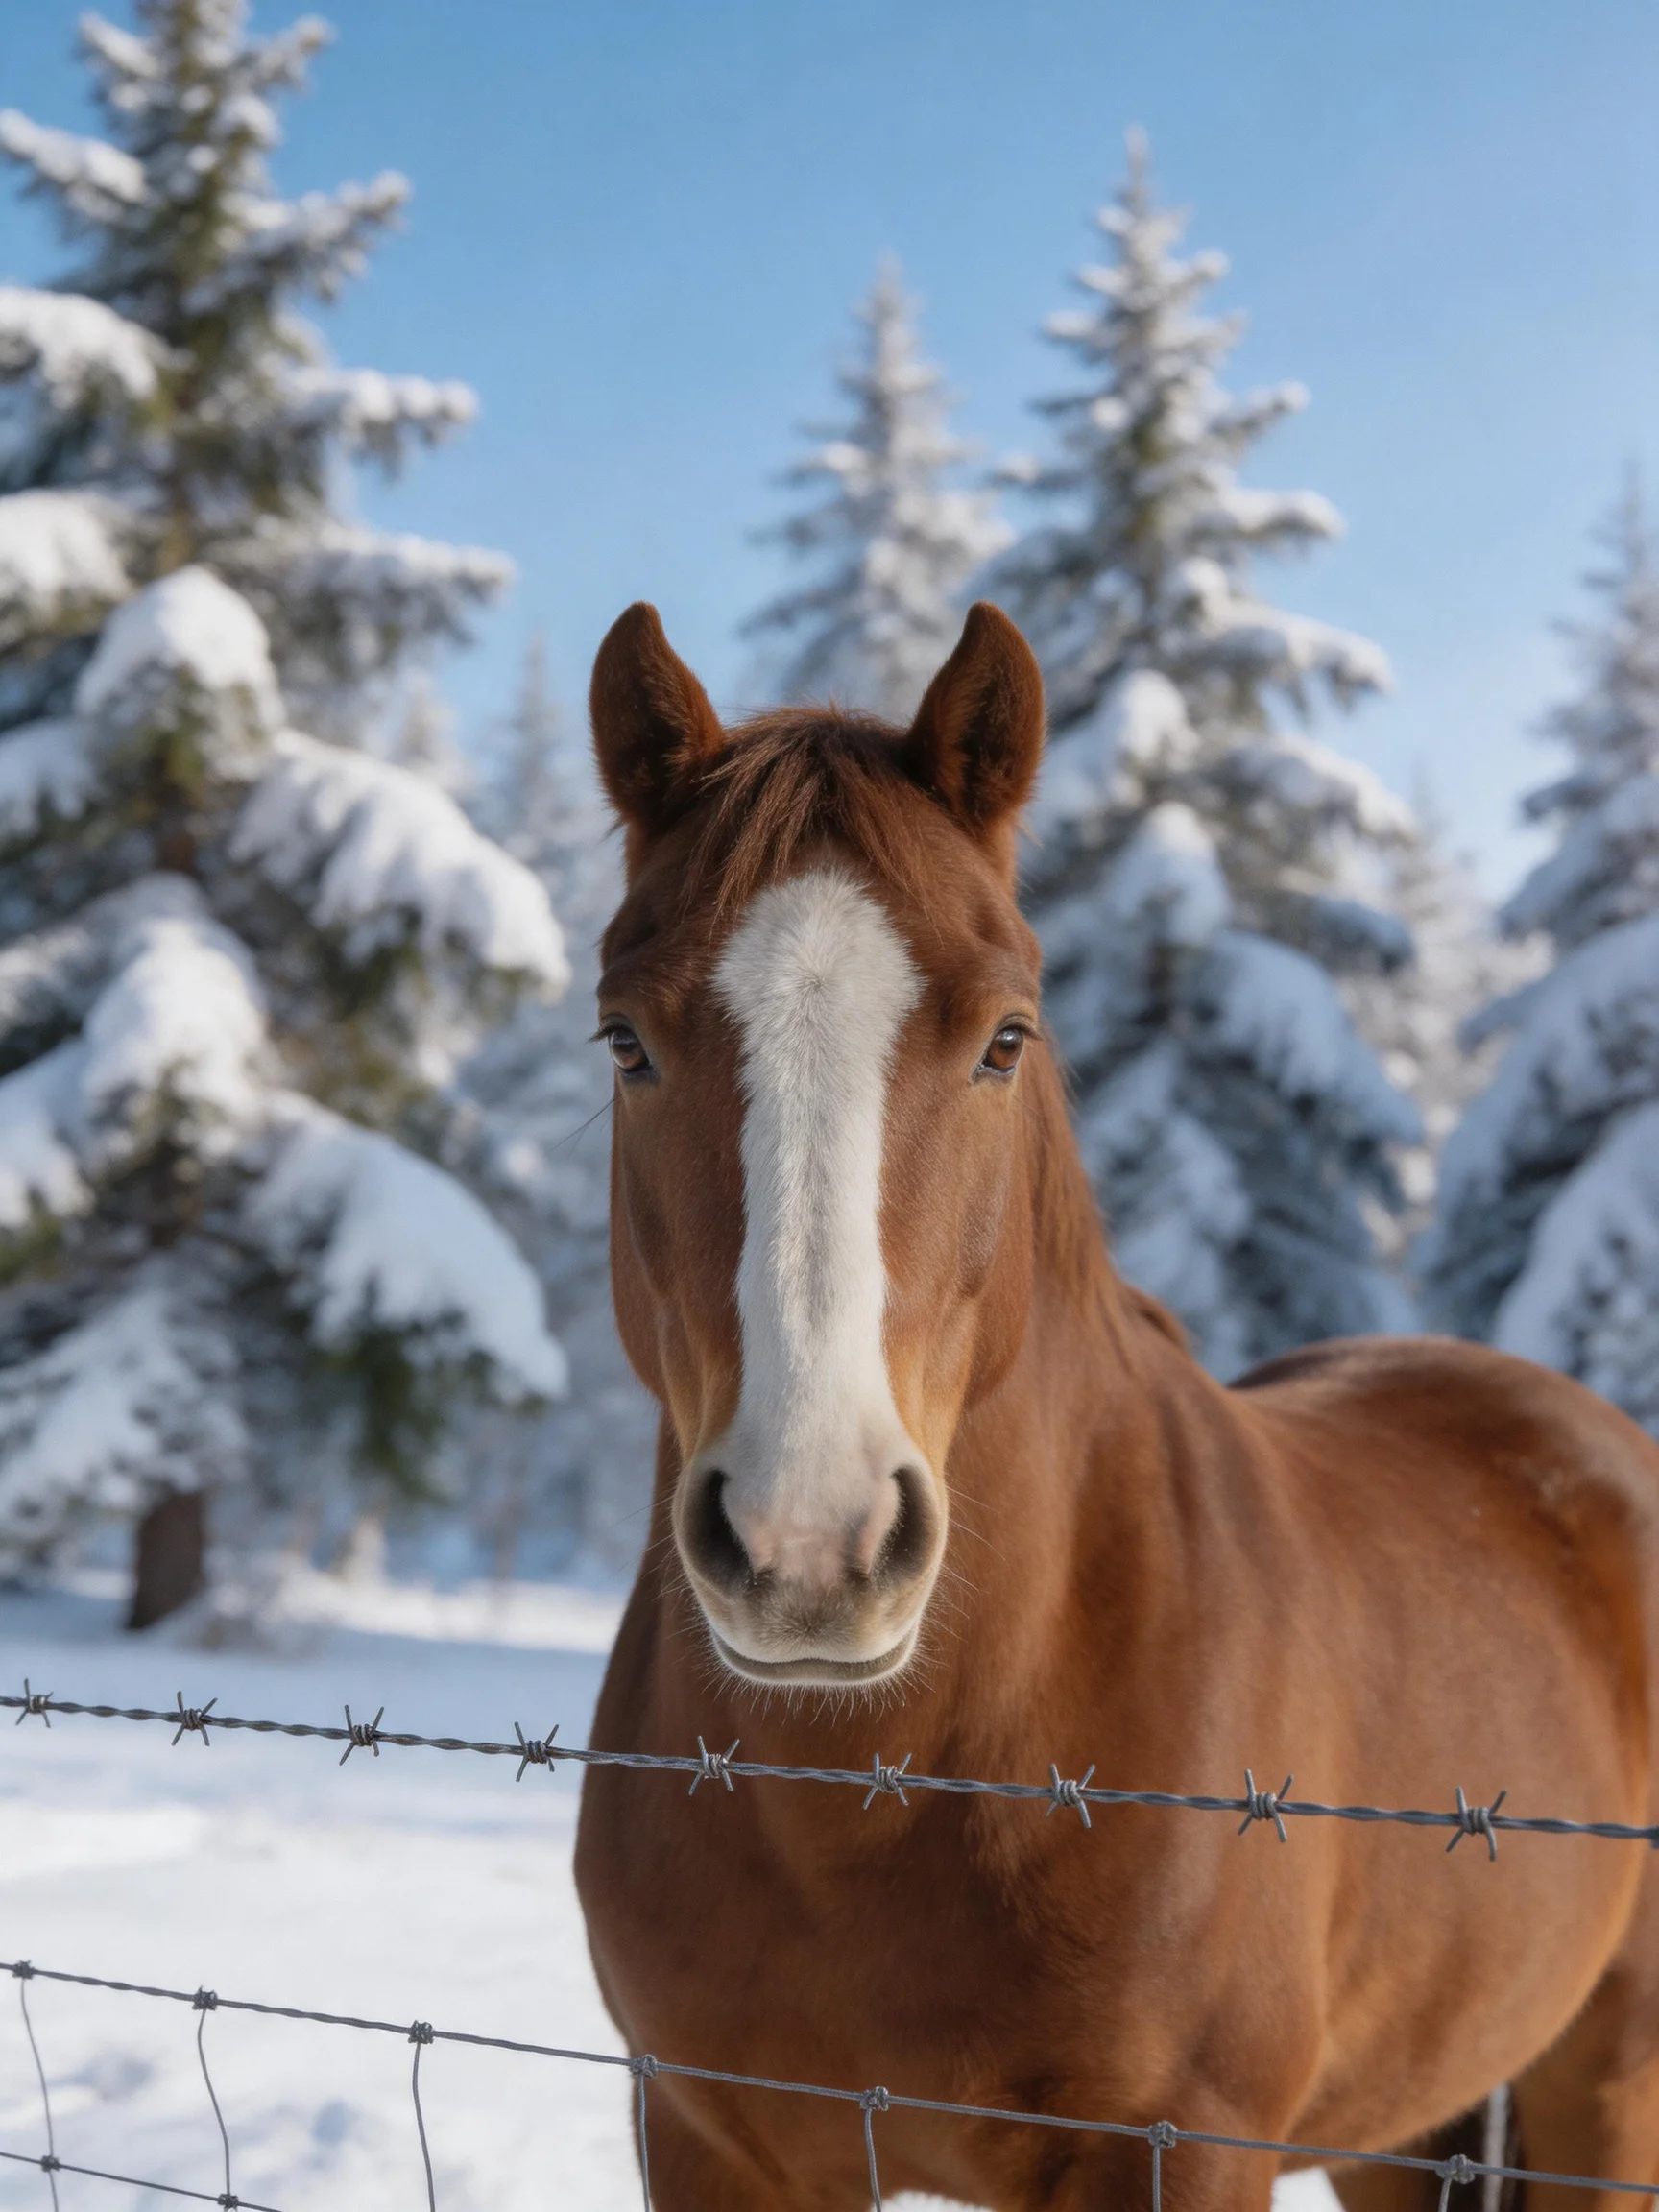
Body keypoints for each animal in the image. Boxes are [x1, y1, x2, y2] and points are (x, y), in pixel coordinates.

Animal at [573, 598, 1659, 2212]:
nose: (809, 1546)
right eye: (625, 1041)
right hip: (1407, 2122)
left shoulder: (1176, 2151)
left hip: (1609, 2082)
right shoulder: (710, 2139)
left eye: (1006, 1037)